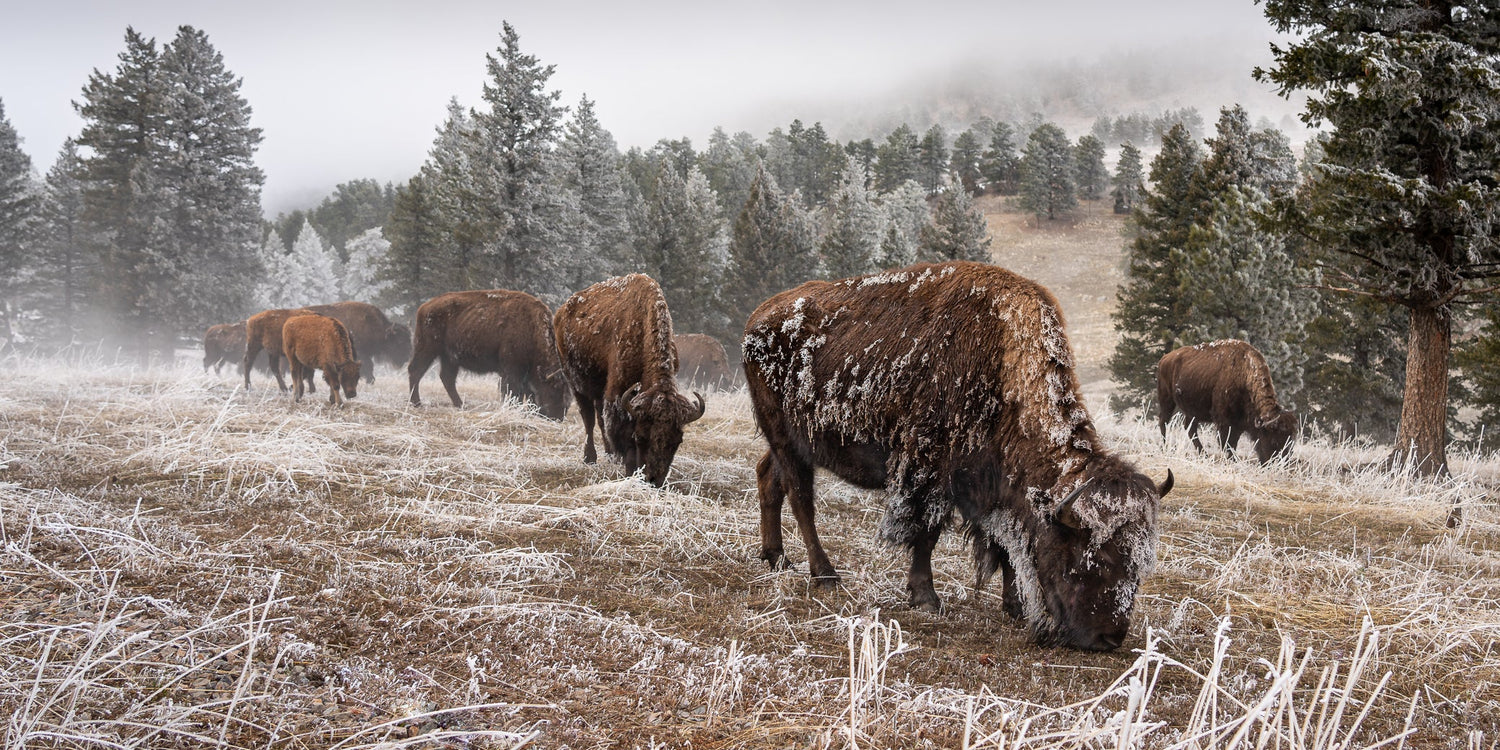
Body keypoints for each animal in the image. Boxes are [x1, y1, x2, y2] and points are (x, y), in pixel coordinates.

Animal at [408, 286, 570, 420]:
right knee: (416, 370)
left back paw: (461, 405)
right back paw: (416, 403)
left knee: (447, 378)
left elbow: (525, 392)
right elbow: (512, 391)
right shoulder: (511, 369)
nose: (557, 417)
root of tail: (424, 307)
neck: (532, 328)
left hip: (449, 358)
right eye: (553, 390)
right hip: (427, 349)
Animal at [555, 274, 705, 486]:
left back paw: (610, 455)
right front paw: (629, 469)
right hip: (577, 384)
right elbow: (621, 429)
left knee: (600, 418)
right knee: (589, 418)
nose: (654, 479)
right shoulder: (618, 392)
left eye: (677, 441)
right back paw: (590, 458)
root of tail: (561, 312)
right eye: (641, 437)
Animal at [738, 262, 1170, 651]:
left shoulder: (994, 489)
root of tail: (757, 319)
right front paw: (927, 599)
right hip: (788, 439)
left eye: (1140, 564)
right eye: (1088, 557)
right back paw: (824, 575)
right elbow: (926, 534)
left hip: (788, 445)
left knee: (768, 479)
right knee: (801, 498)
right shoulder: (929, 473)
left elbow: (1003, 547)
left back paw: (776, 558)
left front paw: (1013, 606)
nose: (1109, 638)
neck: (1004, 364)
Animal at [1152, 339, 1296, 462]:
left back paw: (1204, 455)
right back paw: (1165, 448)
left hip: (1192, 410)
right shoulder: (1224, 421)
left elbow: (1233, 443)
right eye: (1274, 441)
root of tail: (1165, 358)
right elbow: (1227, 443)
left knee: (1189, 428)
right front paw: (1233, 461)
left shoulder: (1238, 424)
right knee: (1164, 421)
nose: (1280, 463)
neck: (1244, 374)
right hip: (1167, 399)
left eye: (1291, 441)